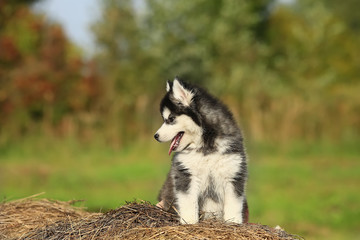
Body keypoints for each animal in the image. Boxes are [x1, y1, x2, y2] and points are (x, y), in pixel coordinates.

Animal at [153, 78, 249, 224]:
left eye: (170, 119)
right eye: (165, 119)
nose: (156, 136)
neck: (206, 145)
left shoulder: (233, 173)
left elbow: (233, 204)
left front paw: (233, 222)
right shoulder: (186, 174)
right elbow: (188, 202)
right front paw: (189, 222)